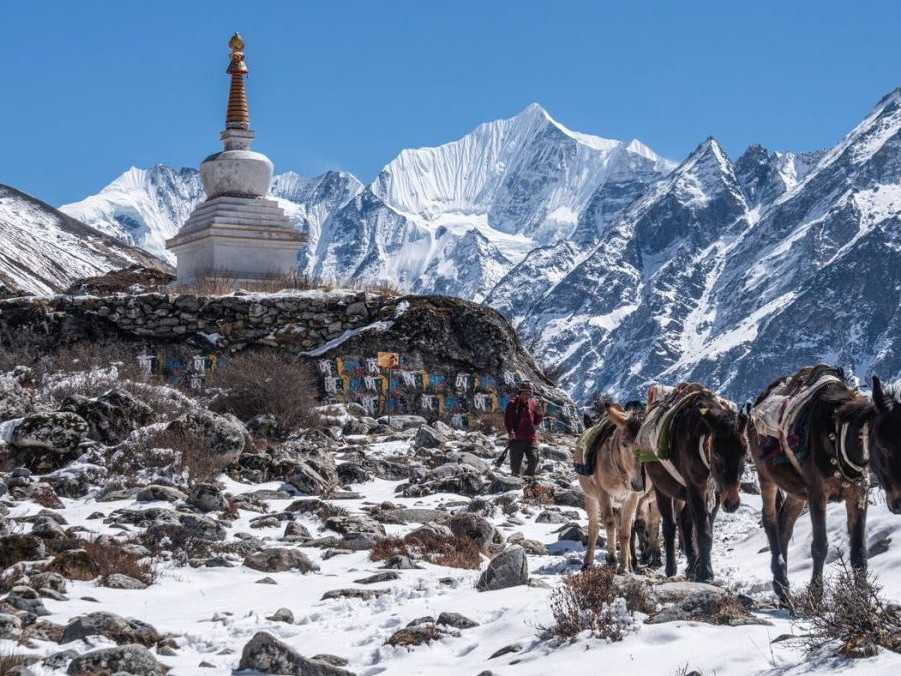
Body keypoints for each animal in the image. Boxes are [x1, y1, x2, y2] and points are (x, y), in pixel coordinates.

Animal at [640, 382, 744, 584]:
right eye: (717, 454)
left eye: (745, 451)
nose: (732, 503)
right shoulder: (696, 488)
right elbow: (702, 530)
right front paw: (706, 572)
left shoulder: (713, 492)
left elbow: (704, 527)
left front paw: (699, 567)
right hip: (662, 489)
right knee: (670, 526)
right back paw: (671, 567)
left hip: (685, 494)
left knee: (686, 523)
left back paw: (690, 564)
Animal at [740, 368, 896, 604]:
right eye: (885, 447)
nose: (898, 504)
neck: (838, 435)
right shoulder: (817, 494)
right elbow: (820, 546)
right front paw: (815, 595)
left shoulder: (858, 494)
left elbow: (859, 551)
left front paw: (863, 601)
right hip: (766, 476)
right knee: (770, 521)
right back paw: (781, 582)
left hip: (797, 492)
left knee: (785, 524)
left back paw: (782, 588)